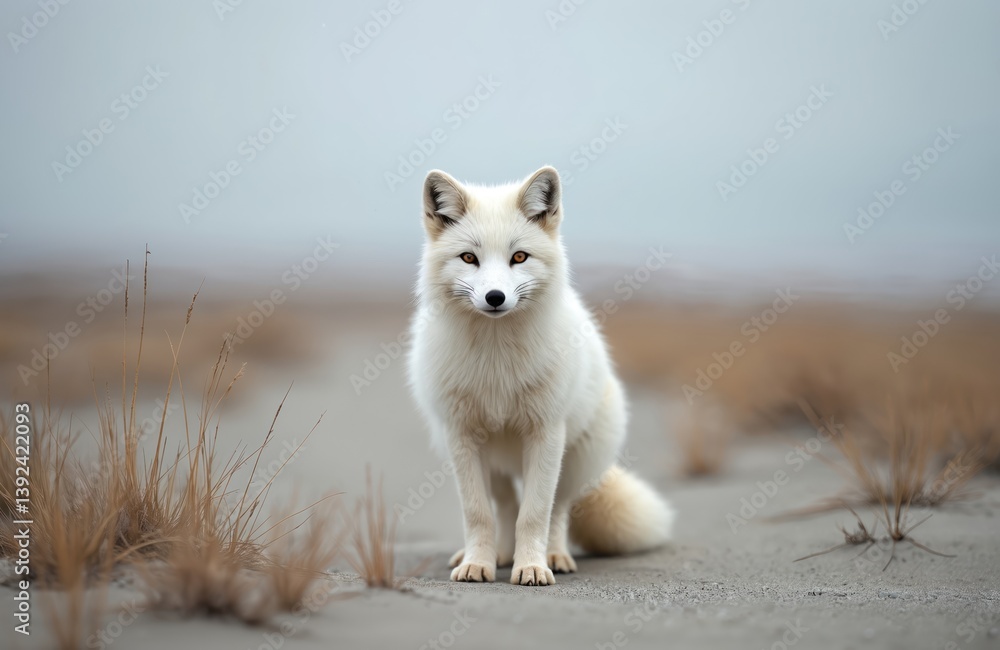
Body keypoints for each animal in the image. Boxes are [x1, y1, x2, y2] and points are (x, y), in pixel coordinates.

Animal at [407, 166, 675, 586]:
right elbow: (478, 513)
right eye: (469, 258)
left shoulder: (545, 432)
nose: (495, 297)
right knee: (505, 506)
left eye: (519, 257)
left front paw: (531, 567)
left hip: (571, 460)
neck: (496, 363)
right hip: (492, 460)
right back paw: (498, 555)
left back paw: (554, 555)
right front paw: (478, 563)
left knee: (558, 509)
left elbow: (535, 514)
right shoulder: (462, 436)